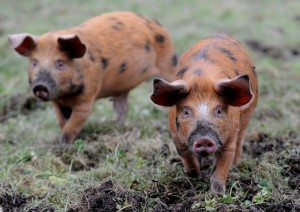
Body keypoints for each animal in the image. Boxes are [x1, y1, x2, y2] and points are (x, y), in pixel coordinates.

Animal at [8, 11, 178, 144]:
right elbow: (62, 122)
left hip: (168, 63)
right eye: (34, 62)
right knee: (122, 107)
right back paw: (115, 127)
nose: (40, 86)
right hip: (122, 88)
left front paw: (62, 145)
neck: (65, 96)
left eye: (60, 63)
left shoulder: (87, 98)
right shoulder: (56, 102)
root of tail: (155, 22)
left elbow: (72, 125)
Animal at [150, 33, 258, 194]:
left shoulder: (230, 138)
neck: (202, 79)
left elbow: (221, 168)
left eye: (219, 110)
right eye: (186, 112)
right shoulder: (175, 135)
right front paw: (195, 176)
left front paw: (217, 194)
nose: (204, 139)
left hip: (245, 119)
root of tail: (220, 34)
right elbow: (187, 158)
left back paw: (236, 164)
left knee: (240, 140)